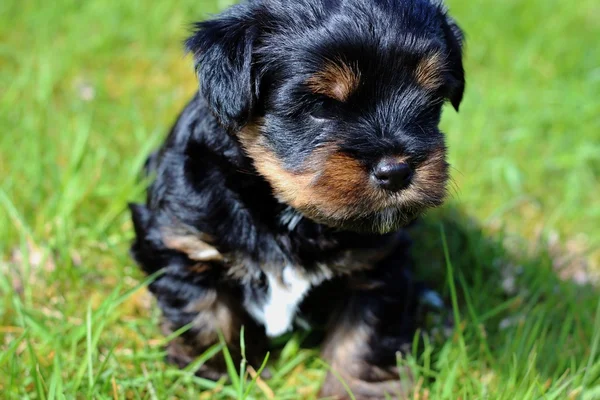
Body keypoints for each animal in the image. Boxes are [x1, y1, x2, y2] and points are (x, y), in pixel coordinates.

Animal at [130, 0, 464, 396]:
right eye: (319, 107)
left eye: (430, 101)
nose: (396, 170)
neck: (289, 215)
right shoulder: (184, 241)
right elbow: (207, 317)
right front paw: (215, 376)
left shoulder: (377, 262)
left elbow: (364, 335)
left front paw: (358, 390)